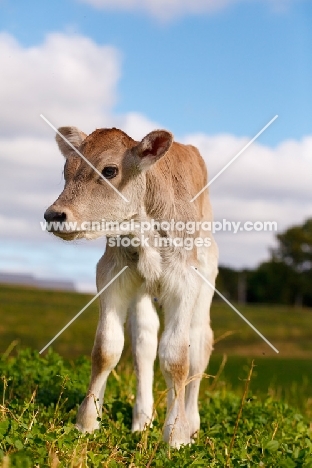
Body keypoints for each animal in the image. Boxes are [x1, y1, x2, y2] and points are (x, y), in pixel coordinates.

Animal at [44, 126, 218, 448]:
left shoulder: (183, 281)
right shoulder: (112, 274)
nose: (54, 215)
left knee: (198, 348)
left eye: (110, 170)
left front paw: (176, 435)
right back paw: (142, 420)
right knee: (145, 346)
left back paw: (191, 423)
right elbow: (106, 349)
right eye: (66, 169)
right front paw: (86, 423)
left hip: (205, 284)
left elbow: (177, 358)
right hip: (143, 293)